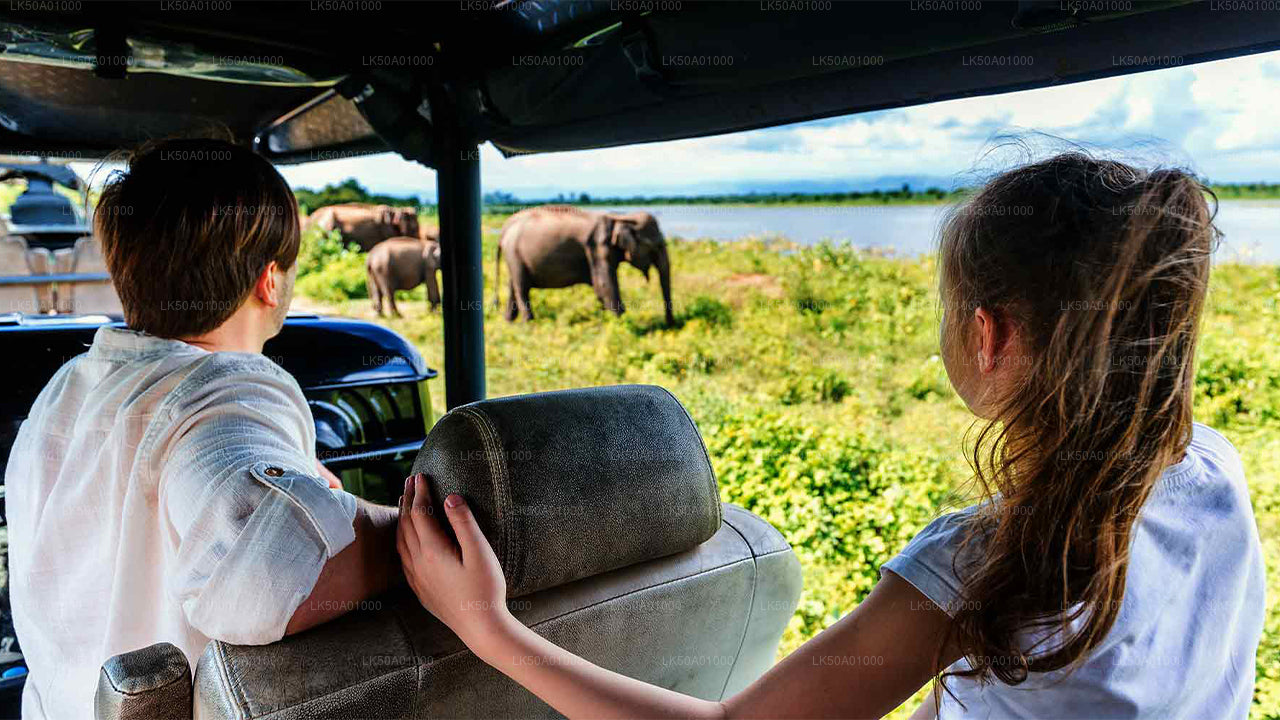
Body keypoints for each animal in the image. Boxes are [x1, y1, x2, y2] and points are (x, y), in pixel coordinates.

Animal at [491, 203, 675, 324]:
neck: (620, 219)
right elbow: (604, 284)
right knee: (522, 287)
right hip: (514, 254)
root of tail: (505, 228)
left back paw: (509, 321)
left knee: (513, 285)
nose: (670, 325)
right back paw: (529, 323)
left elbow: (601, 288)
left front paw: (607, 320)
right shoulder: (597, 248)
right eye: (657, 246)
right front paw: (621, 323)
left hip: (514, 257)